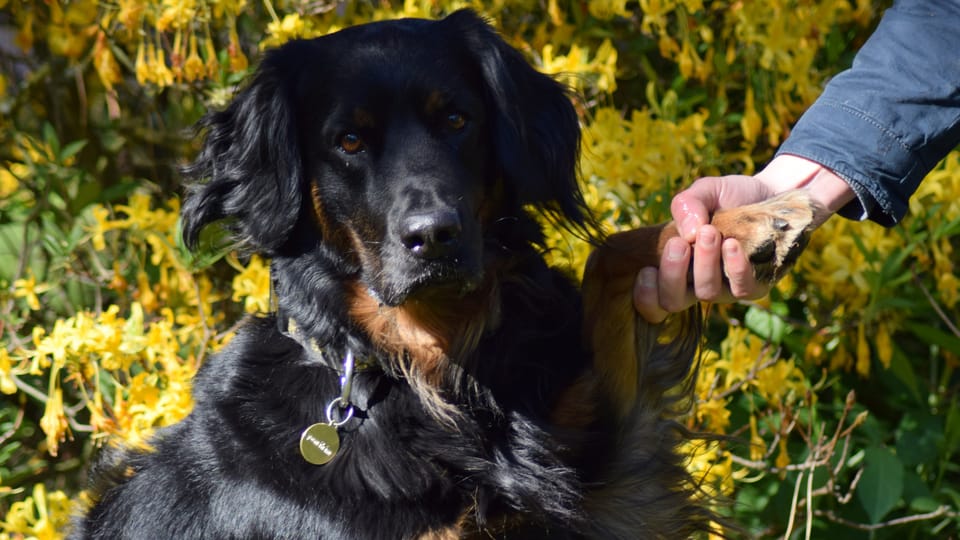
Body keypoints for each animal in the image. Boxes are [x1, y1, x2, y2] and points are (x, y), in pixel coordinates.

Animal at [71, 10, 812, 536]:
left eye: (457, 118)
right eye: (348, 141)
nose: (434, 237)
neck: (430, 371)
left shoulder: (614, 486)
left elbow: (611, 255)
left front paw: (750, 220)